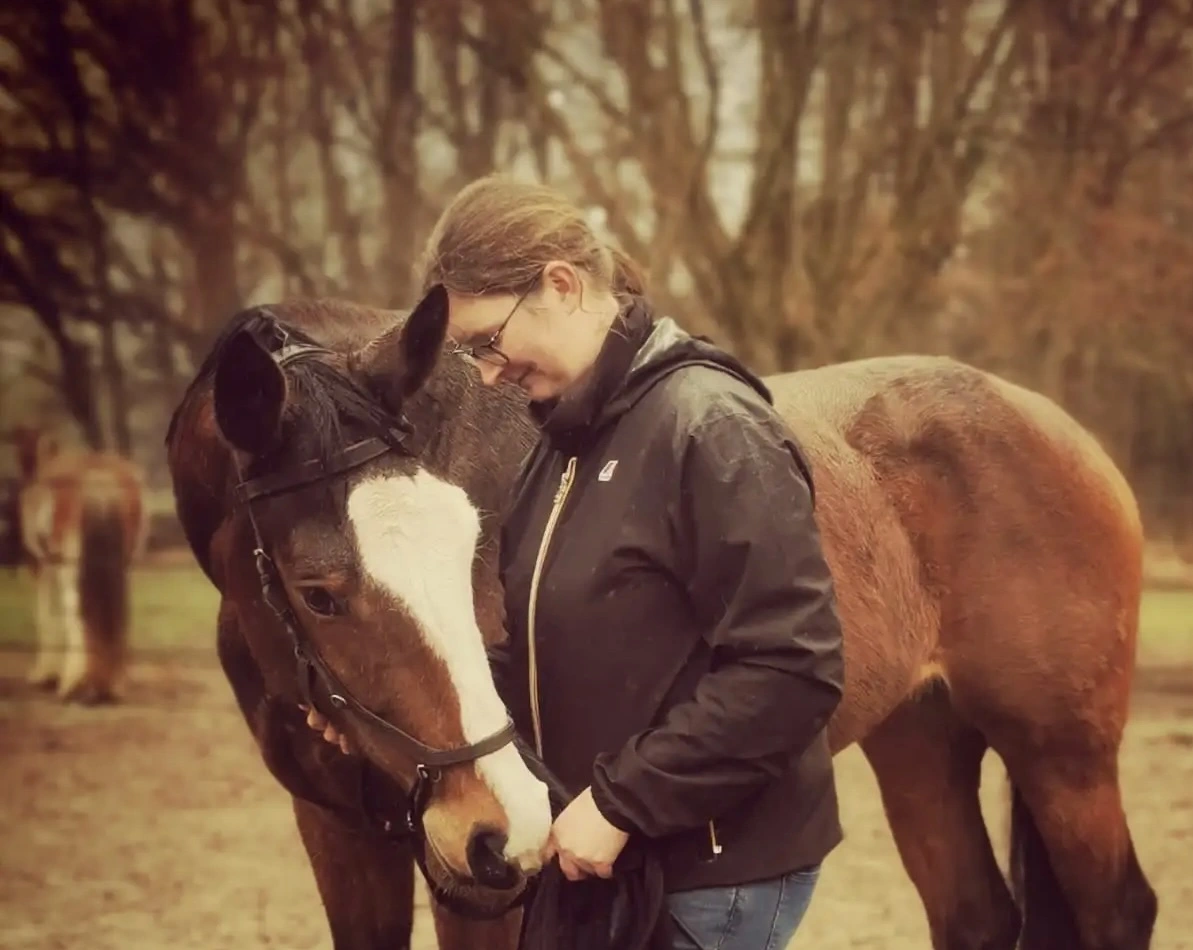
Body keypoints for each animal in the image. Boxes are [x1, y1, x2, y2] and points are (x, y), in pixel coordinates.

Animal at [13, 426, 147, 704]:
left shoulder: (41, 565)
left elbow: (45, 613)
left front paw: (43, 674)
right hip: (123, 563)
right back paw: (114, 683)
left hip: (70, 567)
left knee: (74, 608)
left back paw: (73, 682)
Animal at [165, 294, 1157, 950]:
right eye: (318, 591)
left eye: (468, 547)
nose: (506, 823)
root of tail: (1056, 428)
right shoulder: (341, 835)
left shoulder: (484, 890)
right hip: (920, 740)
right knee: (975, 914)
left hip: (1060, 754)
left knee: (1117, 908)